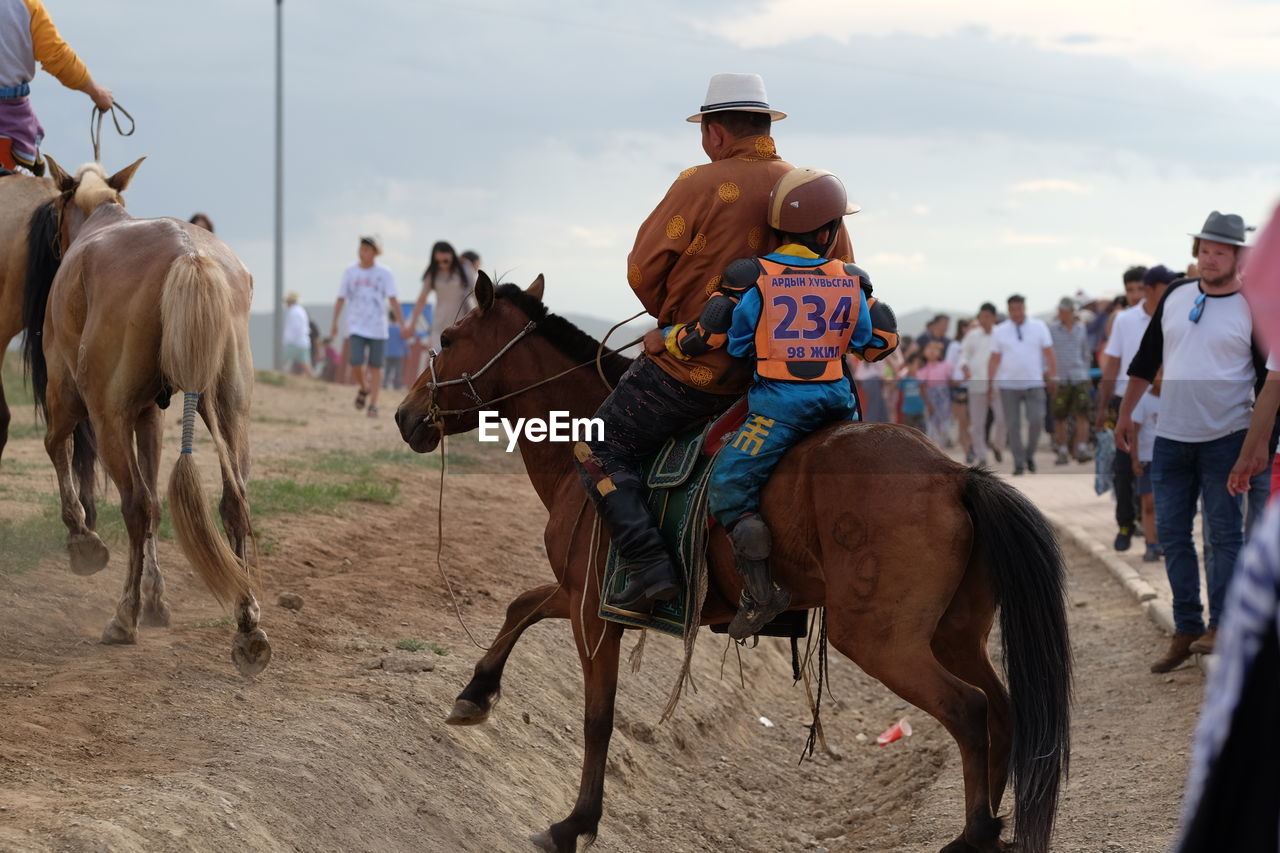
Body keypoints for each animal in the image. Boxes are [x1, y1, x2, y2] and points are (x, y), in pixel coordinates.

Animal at [23, 154, 270, 671]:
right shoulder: (149, 414)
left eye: (54, 209)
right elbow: (158, 498)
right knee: (232, 500)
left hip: (106, 414)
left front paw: (84, 541)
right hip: (229, 409)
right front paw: (157, 598)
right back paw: (248, 622)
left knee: (136, 504)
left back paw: (124, 616)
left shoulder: (67, 394)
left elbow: (57, 447)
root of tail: (189, 255)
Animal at [394, 274, 1075, 850]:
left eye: (448, 339)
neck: (585, 449)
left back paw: (974, 835)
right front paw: (475, 693)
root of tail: (955, 474)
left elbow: (598, 719)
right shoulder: (584, 593)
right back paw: (993, 826)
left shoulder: (595, 611)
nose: (406, 415)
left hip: (883, 640)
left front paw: (574, 822)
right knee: (1002, 708)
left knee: (969, 710)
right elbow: (522, 605)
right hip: (953, 635)